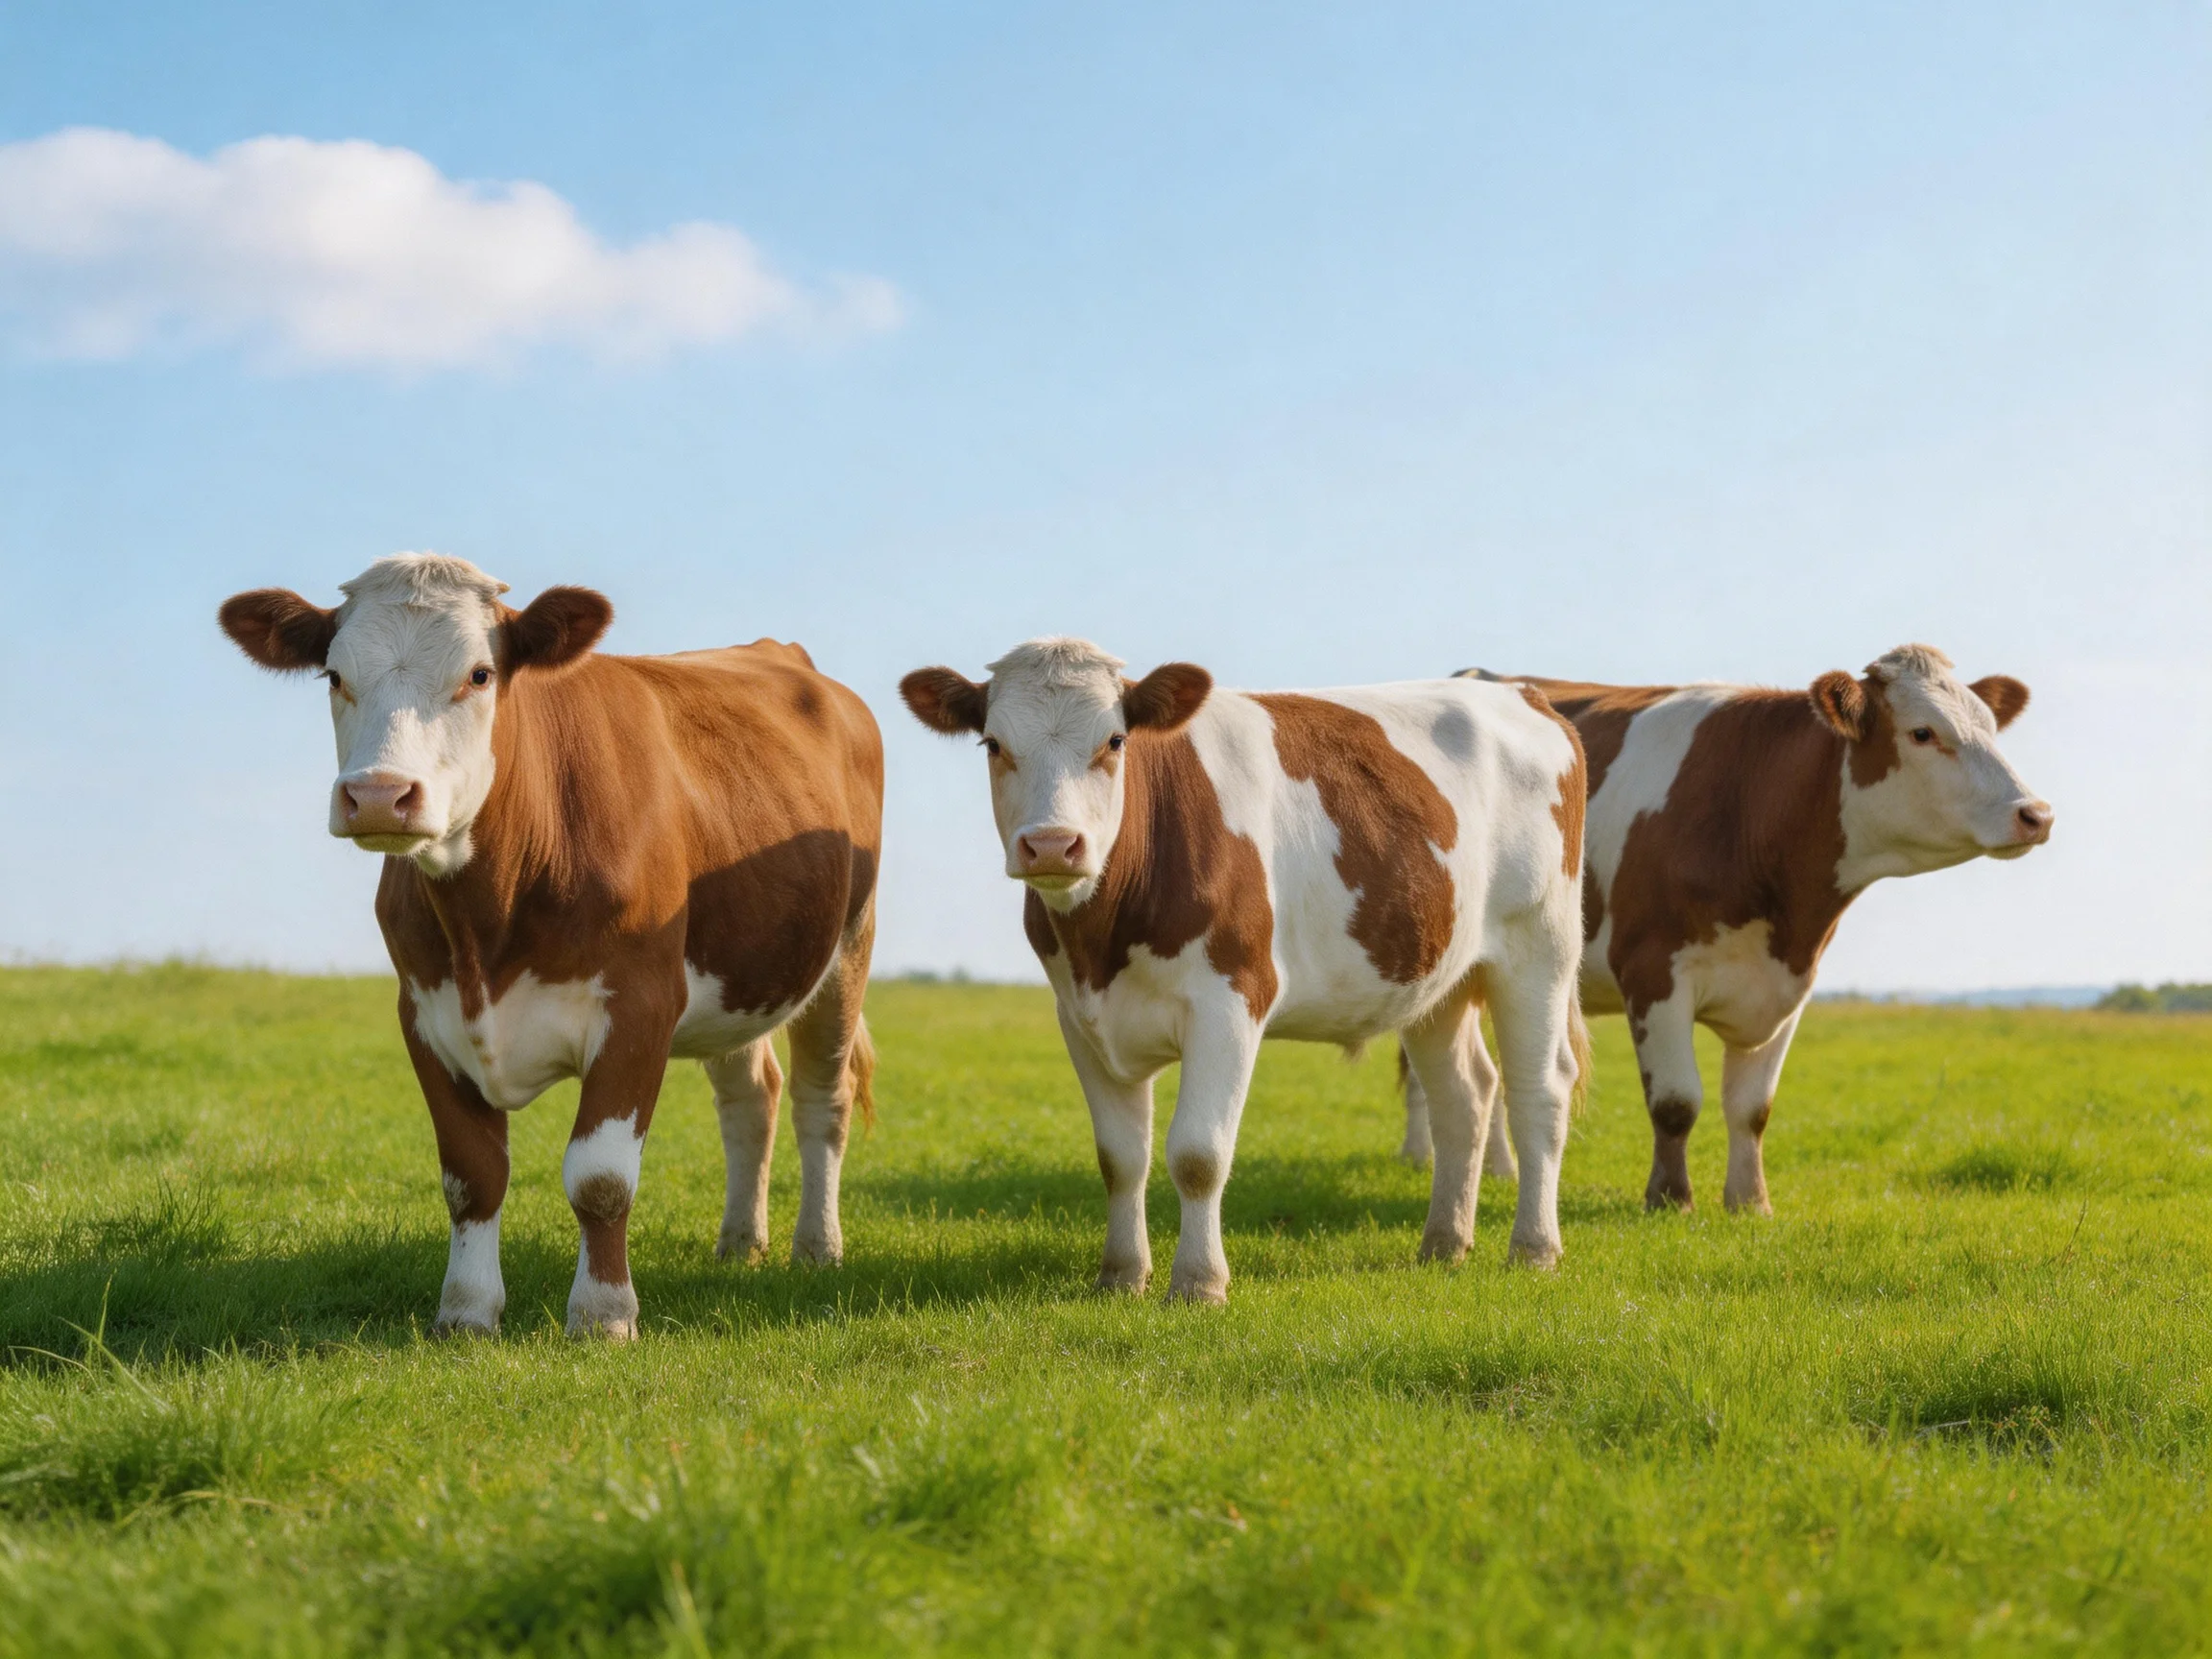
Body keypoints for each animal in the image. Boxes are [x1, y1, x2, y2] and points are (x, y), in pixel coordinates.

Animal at [219, 553, 883, 1339]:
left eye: (480, 674)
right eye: (333, 675)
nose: (379, 795)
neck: (488, 925)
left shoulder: (640, 1005)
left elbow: (600, 1178)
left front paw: (602, 1315)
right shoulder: (424, 1012)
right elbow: (472, 1175)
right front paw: (465, 1312)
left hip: (848, 949)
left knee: (823, 1099)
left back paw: (817, 1248)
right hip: (739, 976)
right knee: (753, 1094)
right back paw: (740, 1244)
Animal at [900, 638, 1590, 1302]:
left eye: (1115, 741)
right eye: (993, 743)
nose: (1050, 844)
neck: (1104, 942)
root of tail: (1521, 693)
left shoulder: (1230, 1002)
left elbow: (1198, 1154)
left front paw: (1198, 1282)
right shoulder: (1079, 1016)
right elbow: (1120, 1158)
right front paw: (1121, 1275)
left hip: (1539, 949)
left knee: (1540, 1092)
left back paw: (1534, 1248)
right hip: (1436, 977)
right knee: (1462, 1098)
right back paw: (1444, 1243)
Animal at [1397, 645, 2052, 1216]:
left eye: (1990, 727)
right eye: (1922, 732)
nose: (2036, 813)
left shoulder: (1788, 988)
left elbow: (1751, 1108)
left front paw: (1749, 1202)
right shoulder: (1653, 972)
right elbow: (1676, 1102)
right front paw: (1669, 1199)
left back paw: (1499, 1170)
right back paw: (1420, 1157)